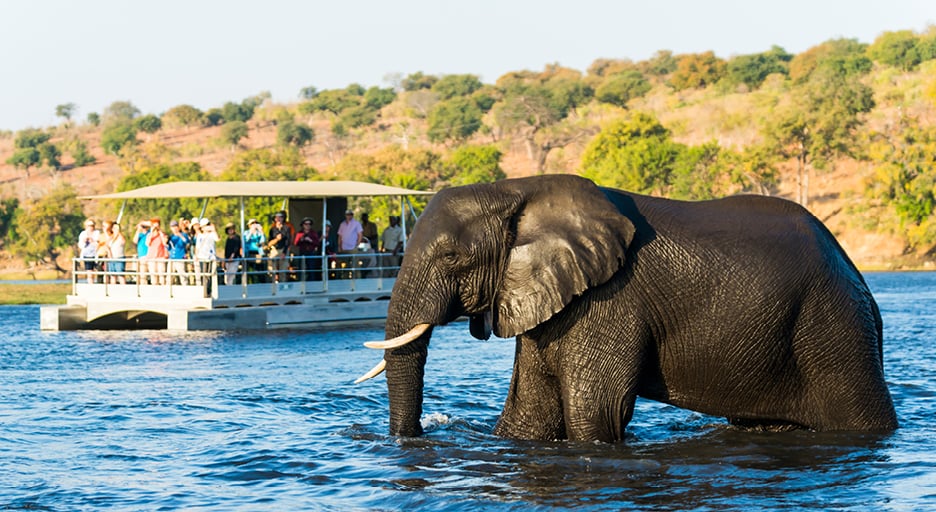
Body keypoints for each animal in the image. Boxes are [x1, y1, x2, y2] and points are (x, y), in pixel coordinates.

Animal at [357, 175, 898, 442]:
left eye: (451, 257)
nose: (414, 440)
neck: (515, 190)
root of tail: (859, 277)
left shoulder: (609, 300)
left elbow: (596, 410)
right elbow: (530, 416)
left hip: (833, 329)